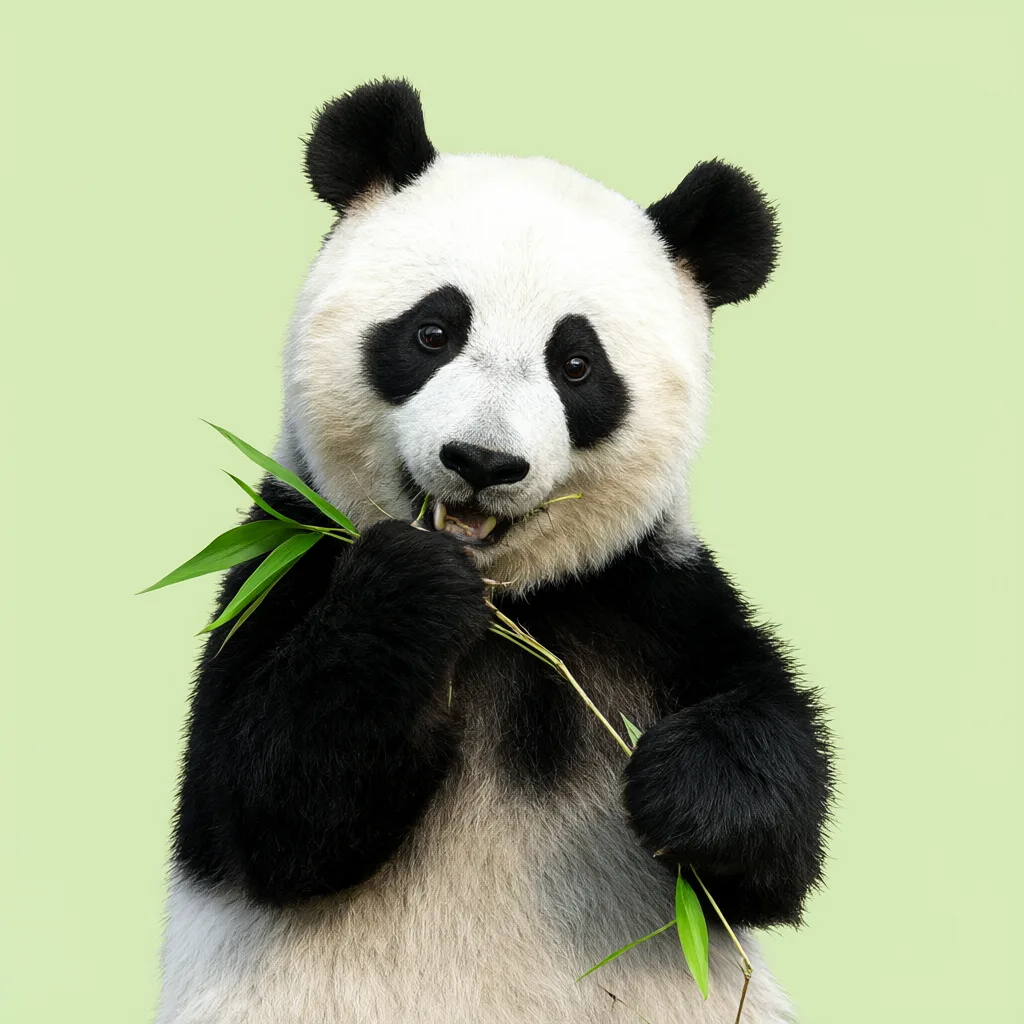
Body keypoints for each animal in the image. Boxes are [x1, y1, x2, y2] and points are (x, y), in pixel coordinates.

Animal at [156, 79, 833, 1024]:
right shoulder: (284, 562)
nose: (481, 462)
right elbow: (270, 806)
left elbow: (770, 831)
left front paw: (688, 786)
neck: (507, 609)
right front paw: (411, 588)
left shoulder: (650, 598)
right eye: (432, 332)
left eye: (577, 364)